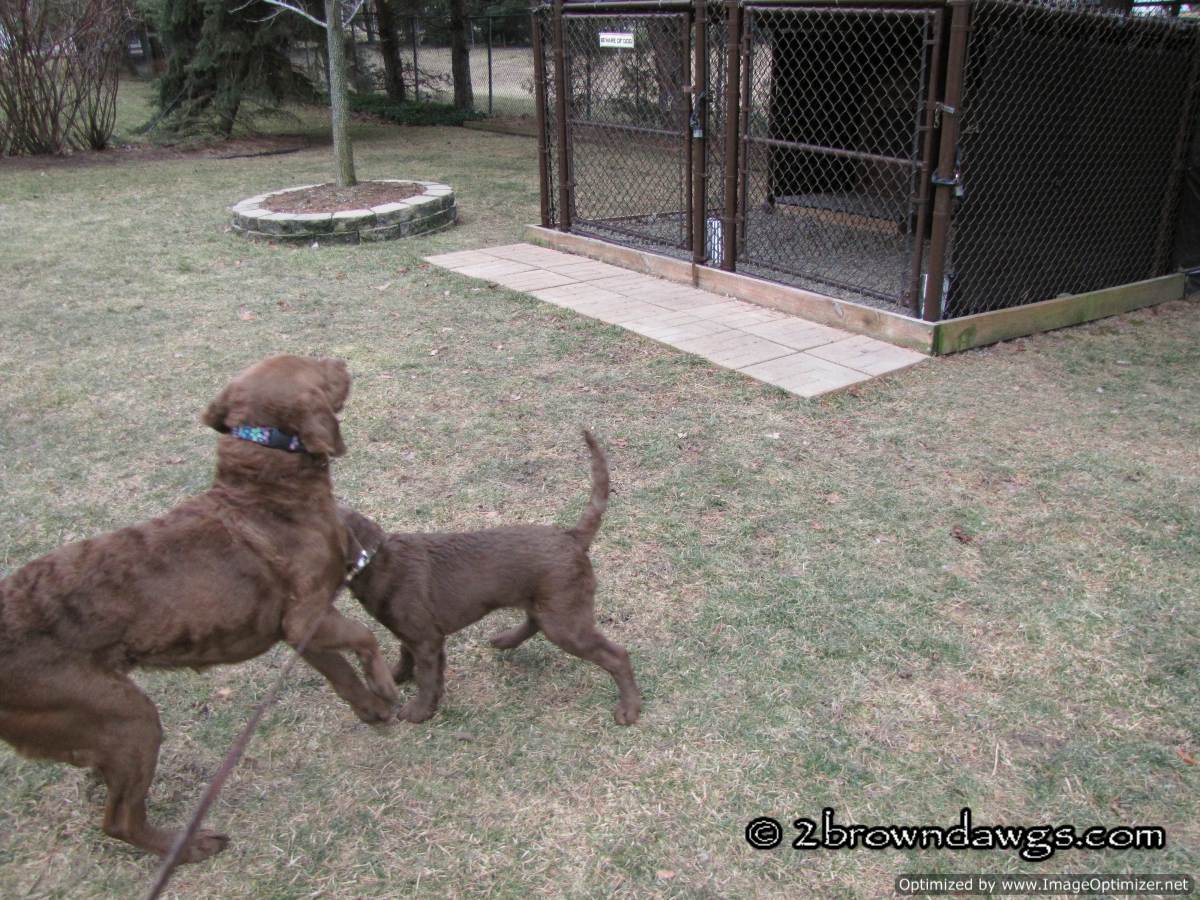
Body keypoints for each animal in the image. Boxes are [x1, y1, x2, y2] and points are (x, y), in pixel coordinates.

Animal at [0, 355, 398, 864]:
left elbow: (341, 676)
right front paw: (385, 686)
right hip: (126, 716)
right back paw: (189, 847)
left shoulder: (300, 630)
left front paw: (373, 710)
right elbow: (365, 639)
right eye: (318, 369)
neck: (265, 487)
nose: (341, 360)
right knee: (119, 820)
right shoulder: (306, 616)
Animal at [340, 430, 641, 726]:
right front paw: (395, 678)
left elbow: (427, 679)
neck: (375, 560)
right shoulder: (409, 632)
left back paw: (629, 710)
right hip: (549, 606)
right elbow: (405, 654)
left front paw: (419, 712)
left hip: (565, 620)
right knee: (534, 621)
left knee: (617, 655)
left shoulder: (427, 640)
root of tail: (573, 536)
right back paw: (505, 640)